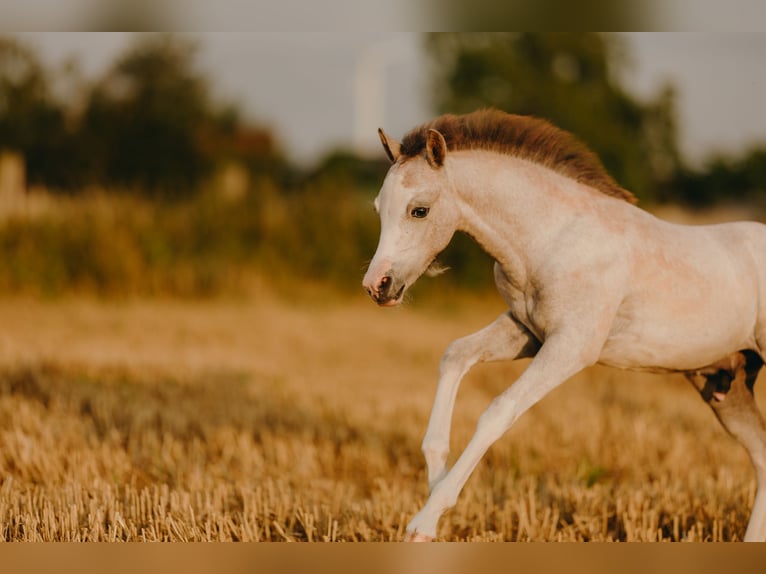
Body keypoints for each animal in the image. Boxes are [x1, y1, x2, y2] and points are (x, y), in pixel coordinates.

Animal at [361, 108, 766, 542]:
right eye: (378, 209)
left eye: (419, 210)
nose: (377, 285)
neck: (553, 237)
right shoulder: (527, 332)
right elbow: (455, 354)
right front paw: (436, 482)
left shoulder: (572, 346)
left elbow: (499, 410)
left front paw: (423, 522)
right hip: (727, 390)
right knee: (762, 455)